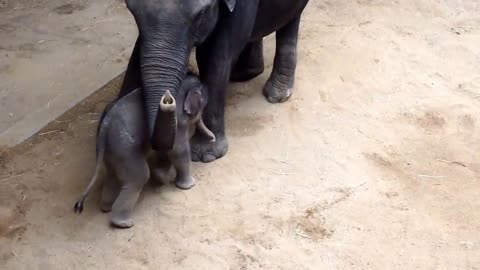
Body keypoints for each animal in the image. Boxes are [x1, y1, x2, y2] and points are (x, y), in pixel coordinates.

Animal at [73, 74, 214, 228]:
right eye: (204, 103)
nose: (213, 139)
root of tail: (104, 130)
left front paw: (161, 177)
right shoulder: (178, 121)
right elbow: (177, 150)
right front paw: (189, 185)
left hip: (111, 152)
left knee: (113, 175)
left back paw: (106, 208)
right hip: (125, 151)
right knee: (139, 176)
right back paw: (123, 223)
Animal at [118, 0, 310, 162]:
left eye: (202, 13)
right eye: (131, 10)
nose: (167, 100)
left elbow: (214, 59)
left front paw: (206, 155)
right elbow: (137, 54)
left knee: (291, 19)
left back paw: (276, 94)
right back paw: (245, 74)